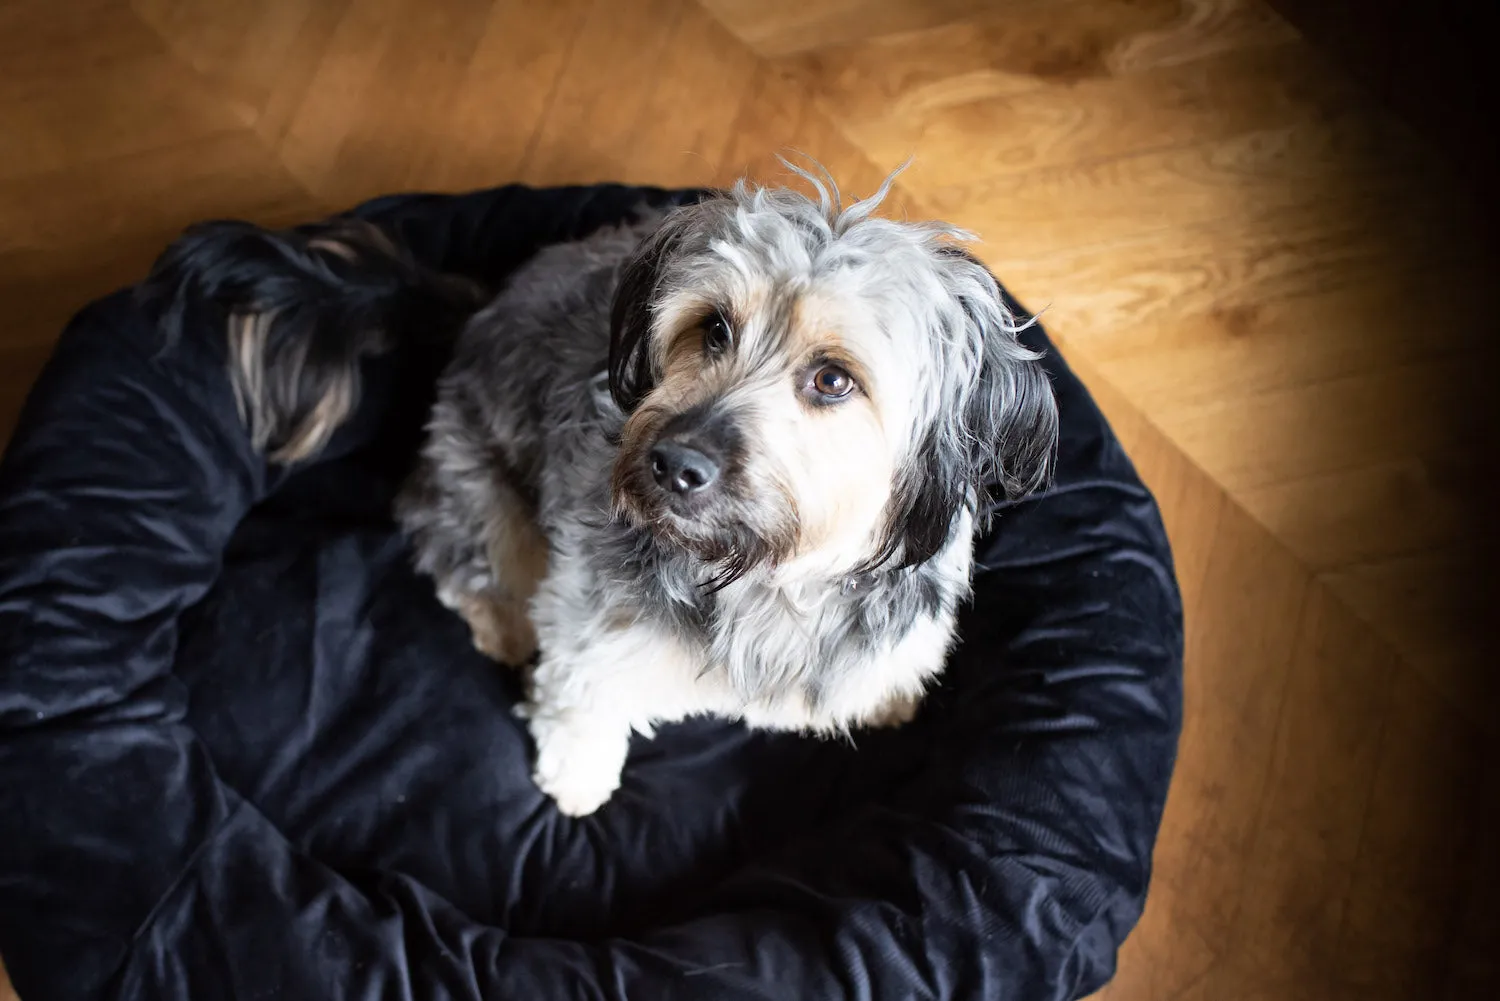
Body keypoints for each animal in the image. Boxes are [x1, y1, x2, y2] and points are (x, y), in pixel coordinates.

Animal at [138, 164, 1056, 816]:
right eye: (712, 327)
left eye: (833, 379)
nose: (673, 464)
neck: (765, 577)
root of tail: (474, 309)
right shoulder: (589, 626)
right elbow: (579, 701)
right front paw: (577, 779)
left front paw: (889, 698)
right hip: (482, 496)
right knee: (458, 556)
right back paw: (501, 622)